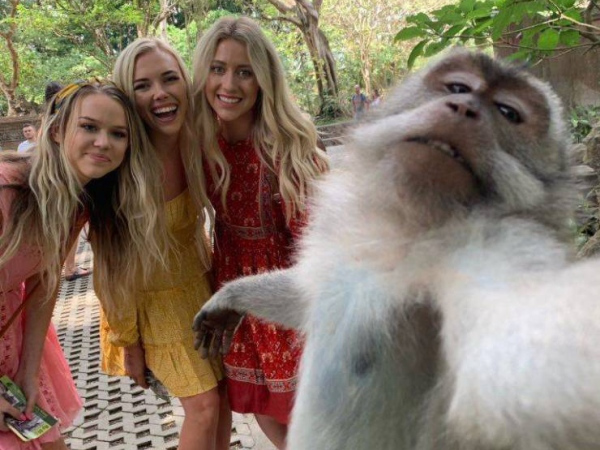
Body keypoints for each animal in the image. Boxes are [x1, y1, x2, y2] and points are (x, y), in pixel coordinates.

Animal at [193, 48, 600, 449]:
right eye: (458, 86)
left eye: (508, 112)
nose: (464, 108)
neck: (407, 231)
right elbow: (308, 294)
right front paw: (232, 297)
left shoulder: (500, 243)